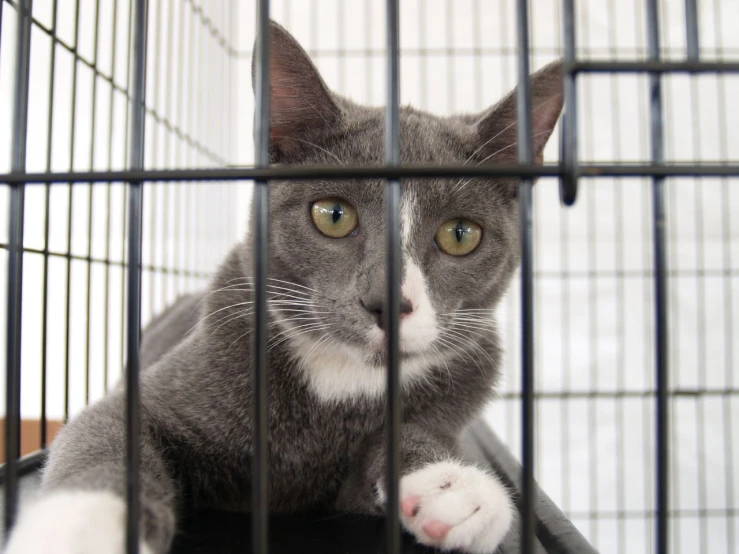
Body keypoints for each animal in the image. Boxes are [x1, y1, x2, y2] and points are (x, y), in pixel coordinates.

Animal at [5, 20, 564, 552]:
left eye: (459, 234)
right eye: (333, 215)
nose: (385, 301)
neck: (341, 381)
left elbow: (404, 440)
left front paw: (454, 488)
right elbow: (105, 438)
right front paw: (83, 529)